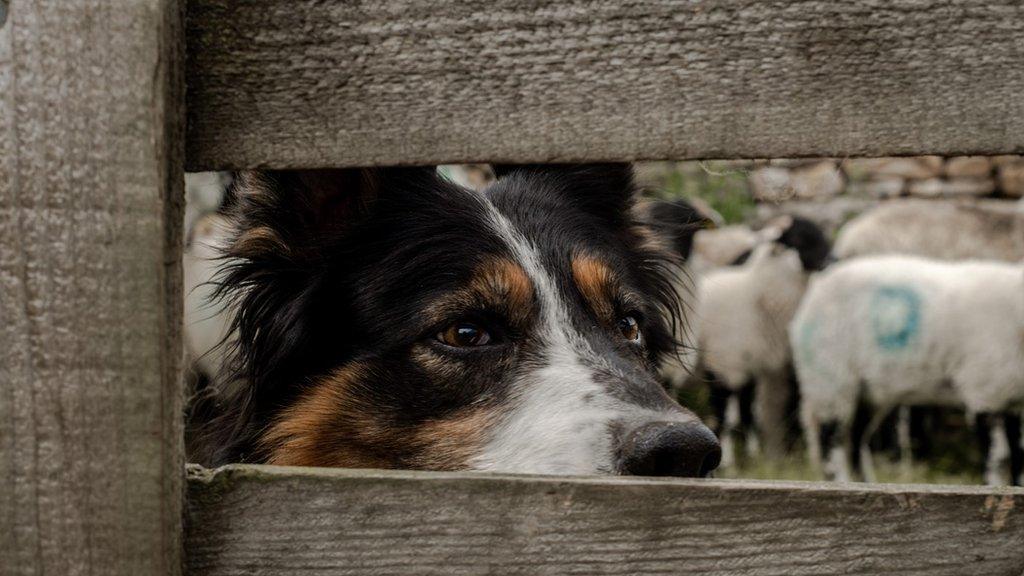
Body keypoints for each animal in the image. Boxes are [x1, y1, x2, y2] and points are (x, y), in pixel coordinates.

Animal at [790, 255, 1024, 483]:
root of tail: (818, 285)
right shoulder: (983, 391)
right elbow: (999, 457)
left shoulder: (1012, 399)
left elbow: (1018, 455)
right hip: (830, 378)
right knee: (831, 441)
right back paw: (841, 482)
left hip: (866, 393)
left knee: (857, 439)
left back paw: (865, 483)